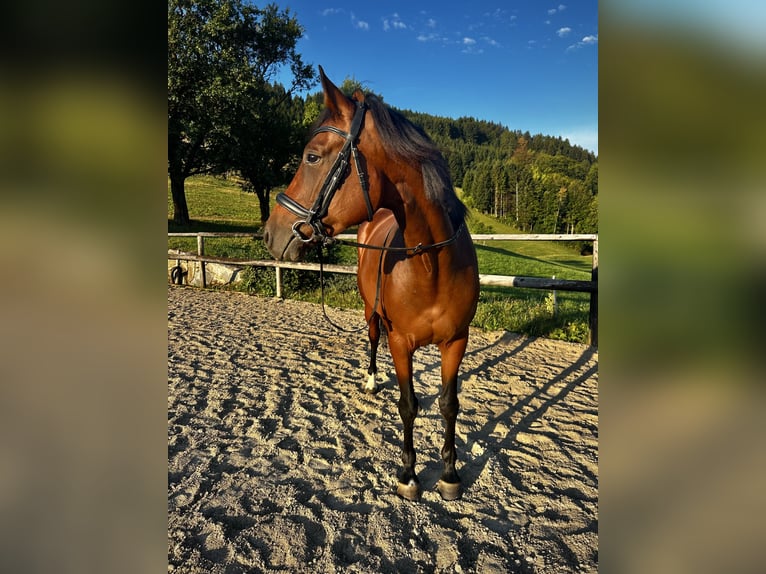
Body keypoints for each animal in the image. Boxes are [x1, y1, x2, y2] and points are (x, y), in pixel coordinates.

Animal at [263, 67, 479, 501]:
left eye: (312, 156)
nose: (270, 234)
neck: (432, 264)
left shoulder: (456, 342)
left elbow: (449, 404)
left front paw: (449, 474)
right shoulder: (400, 343)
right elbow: (408, 404)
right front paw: (409, 475)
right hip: (370, 312)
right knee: (372, 339)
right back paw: (371, 380)